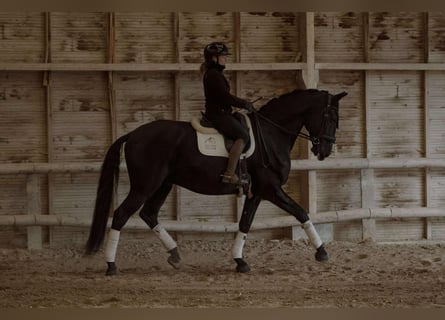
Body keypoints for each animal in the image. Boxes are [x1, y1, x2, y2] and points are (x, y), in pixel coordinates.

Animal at [85, 88, 346, 276]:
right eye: (330, 116)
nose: (325, 150)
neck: (271, 135)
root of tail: (132, 135)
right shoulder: (271, 189)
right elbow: (301, 212)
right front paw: (322, 252)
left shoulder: (257, 193)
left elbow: (245, 223)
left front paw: (240, 262)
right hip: (144, 185)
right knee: (121, 215)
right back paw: (111, 266)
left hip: (163, 184)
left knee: (149, 214)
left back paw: (175, 254)